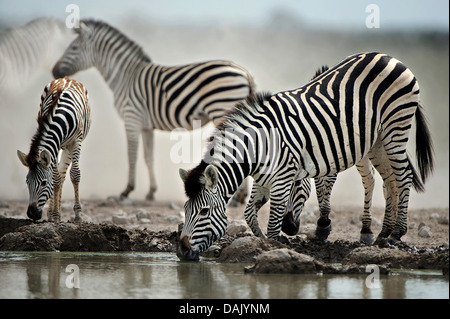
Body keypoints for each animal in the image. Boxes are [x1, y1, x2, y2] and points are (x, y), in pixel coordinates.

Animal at [17, 77, 91, 222]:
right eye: (27, 182)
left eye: (44, 183)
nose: (32, 214)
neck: (62, 115)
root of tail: (67, 78)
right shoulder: (55, 144)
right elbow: (56, 178)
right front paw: (55, 215)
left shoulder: (76, 141)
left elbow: (75, 175)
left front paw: (78, 215)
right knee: (60, 175)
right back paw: (52, 214)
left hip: (69, 147)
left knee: (64, 173)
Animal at [51, 20, 255, 204]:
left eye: (74, 47)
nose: (54, 71)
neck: (125, 76)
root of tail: (244, 72)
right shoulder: (146, 126)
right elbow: (148, 157)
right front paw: (151, 192)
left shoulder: (131, 118)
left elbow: (132, 155)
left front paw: (126, 191)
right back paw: (241, 196)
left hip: (222, 109)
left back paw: (237, 197)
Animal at [178, 52, 434, 262]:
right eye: (186, 209)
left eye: (203, 212)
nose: (182, 251)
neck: (258, 147)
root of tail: (388, 56)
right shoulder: (263, 180)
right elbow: (249, 214)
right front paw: (259, 241)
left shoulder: (282, 179)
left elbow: (273, 222)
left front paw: (272, 247)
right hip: (377, 139)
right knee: (390, 180)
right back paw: (383, 233)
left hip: (396, 126)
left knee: (403, 176)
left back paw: (397, 233)